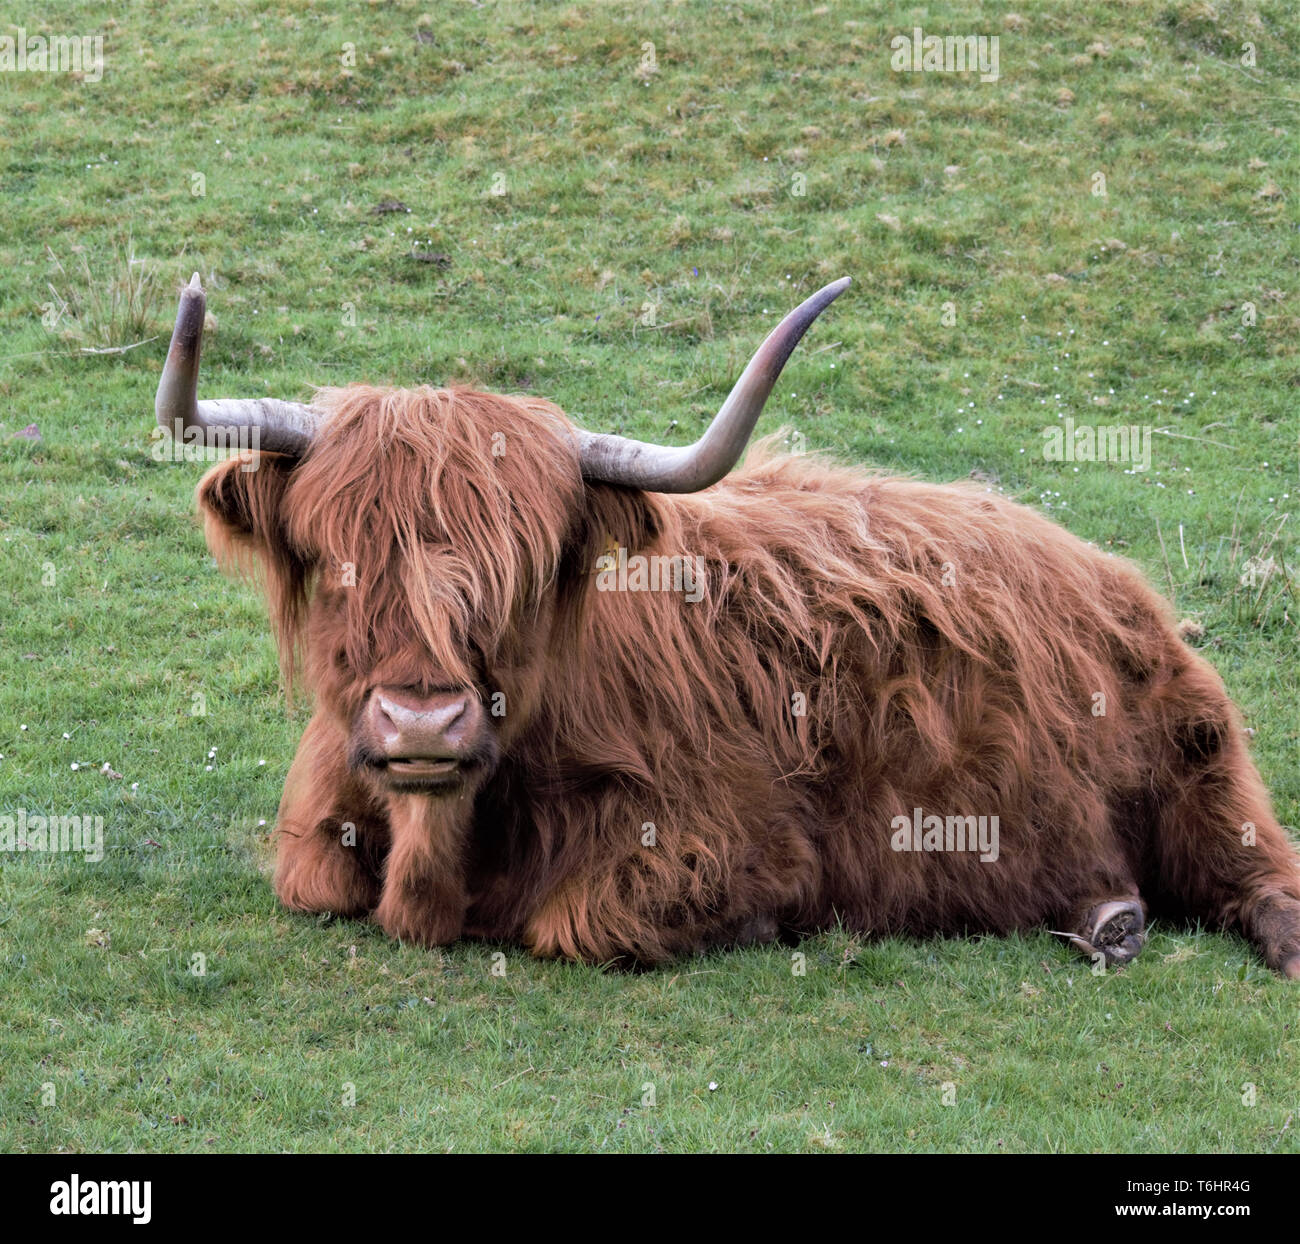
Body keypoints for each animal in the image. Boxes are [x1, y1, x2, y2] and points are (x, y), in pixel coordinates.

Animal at [155, 274, 1300, 976]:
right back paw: (1108, 920)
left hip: (1203, 772)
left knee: (1260, 875)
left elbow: (579, 918)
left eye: (530, 566)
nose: (422, 724)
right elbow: (313, 880)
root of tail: (1106, 570)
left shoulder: (725, 837)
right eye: (336, 557)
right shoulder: (315, 832)